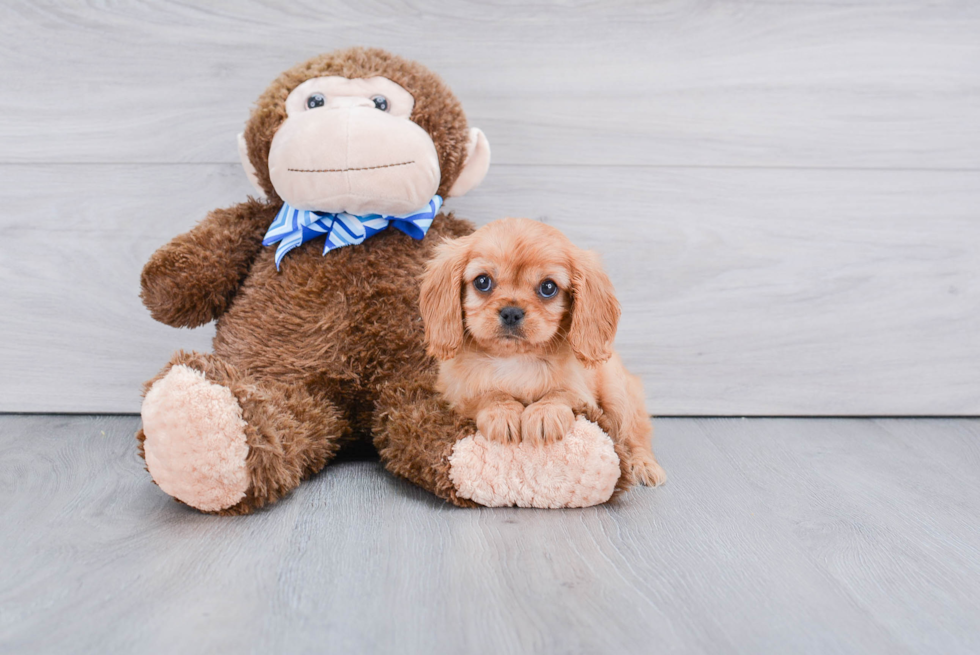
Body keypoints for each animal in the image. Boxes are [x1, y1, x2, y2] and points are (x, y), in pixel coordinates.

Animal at [422, 219, 668, 486]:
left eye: (548, 287)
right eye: (482, 281)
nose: (511, 312)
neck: (516, 359)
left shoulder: (581, 393)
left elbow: (561, 393)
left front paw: (544, 414)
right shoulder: (455, 393)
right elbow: (487, 394)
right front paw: (502, 412)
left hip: (618, 395)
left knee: (636, 434)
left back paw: (644, 465)